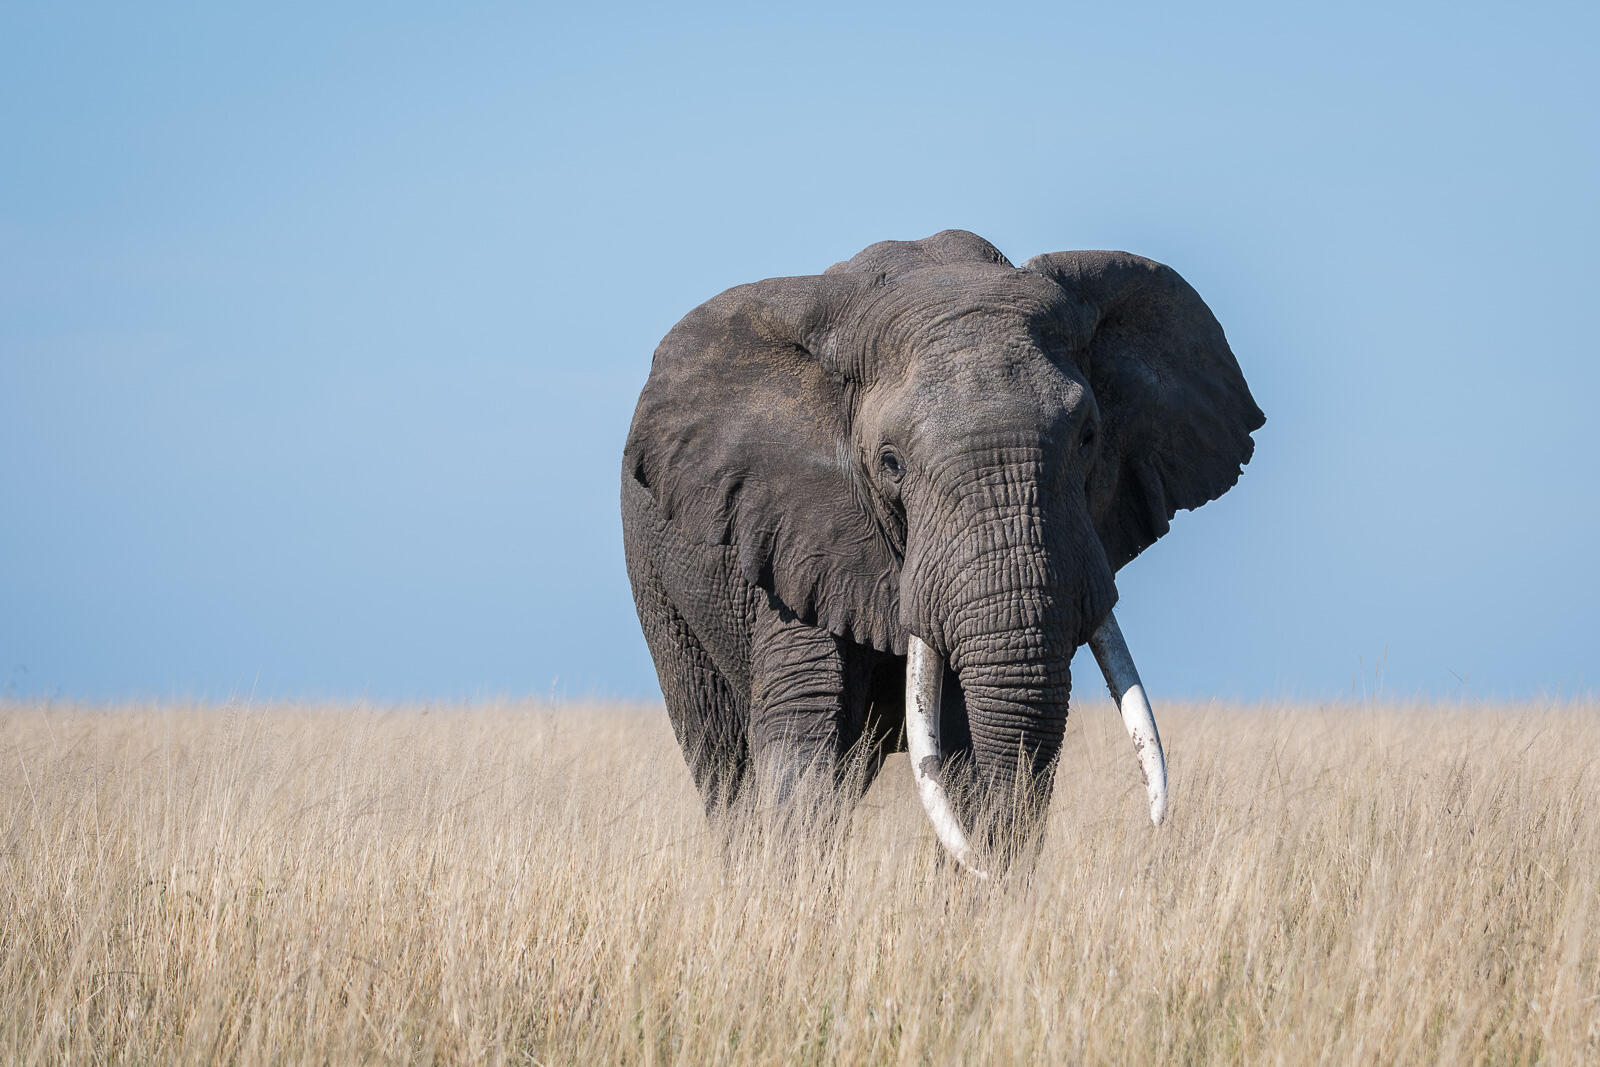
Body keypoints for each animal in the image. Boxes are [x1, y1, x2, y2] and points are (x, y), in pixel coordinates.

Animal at [620, 230, 1263, 875]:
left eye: (1088, 437)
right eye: (890, 463)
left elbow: (963, 746)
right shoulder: (795, 530)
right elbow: (804, 736)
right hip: (659, 586)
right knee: (721, 757)